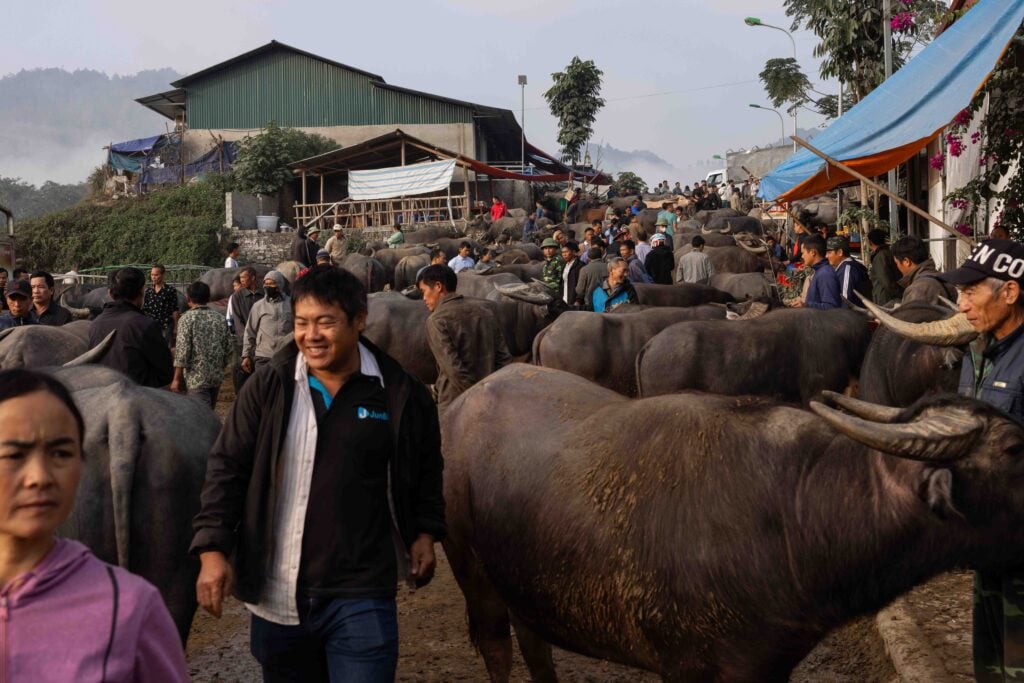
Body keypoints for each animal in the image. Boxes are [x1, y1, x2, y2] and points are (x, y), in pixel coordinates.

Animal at [446, 366, 1024, 679]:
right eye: (1015, 449)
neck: (791, 512)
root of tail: (462, 405)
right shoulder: (685, 667)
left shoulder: (769, 665)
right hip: (476, 580)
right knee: (498, 649)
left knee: (537, 648)